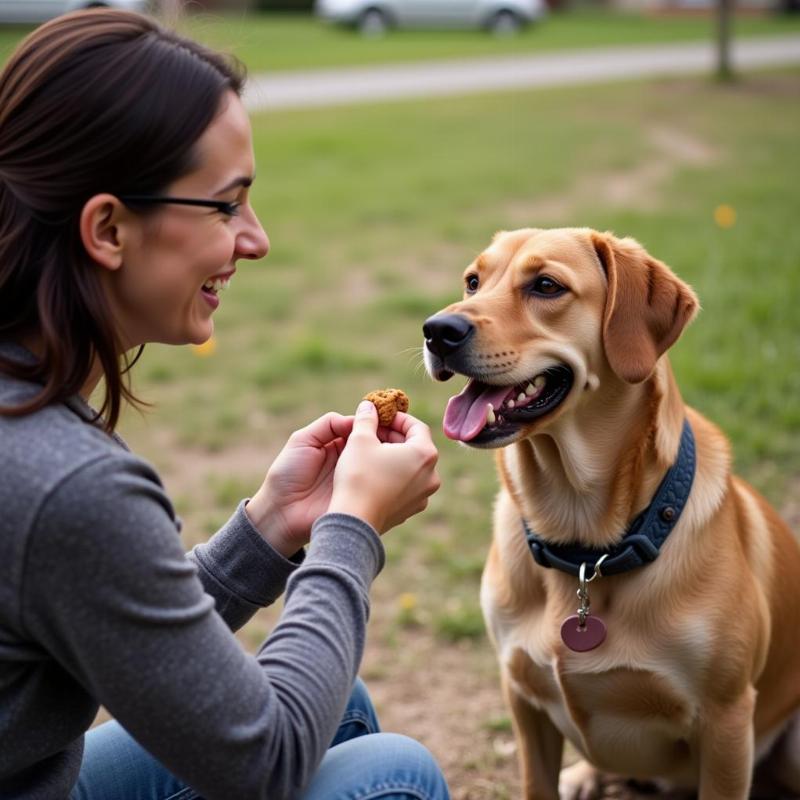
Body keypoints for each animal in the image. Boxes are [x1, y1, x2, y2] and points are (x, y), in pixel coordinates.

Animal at [422, 227, 796, 800]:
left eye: (546, 285)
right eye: (472, 282)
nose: (436, 331)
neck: (581, 545)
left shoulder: (728, 720)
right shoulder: (522, 698)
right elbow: (536, 784)